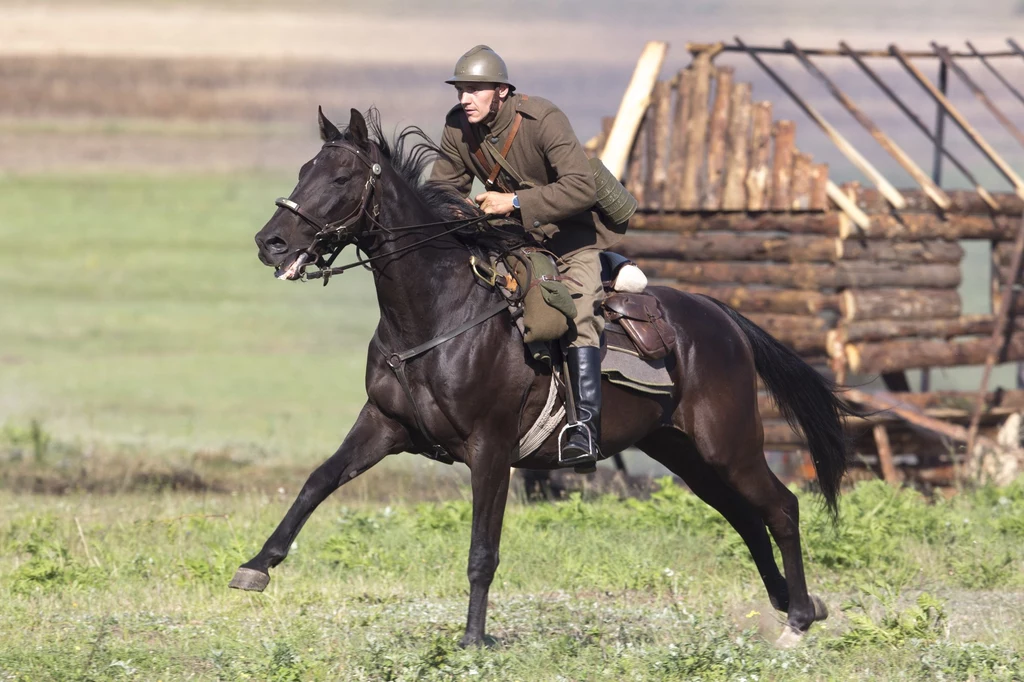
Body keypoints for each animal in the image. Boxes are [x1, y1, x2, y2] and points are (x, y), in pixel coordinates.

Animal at [234, 106, 856, 643]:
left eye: (341, 177)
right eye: (304, 171)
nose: (271, 243)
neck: (438, 312)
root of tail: (719, 316)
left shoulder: (490, 448)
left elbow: (482, 551)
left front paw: (474, 638)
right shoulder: (384, 426)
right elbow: (318, 481)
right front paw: (257, 565)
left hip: (729, 445)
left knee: (781, 508)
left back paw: (799, 619)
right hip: (683, 452)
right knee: (746, 518)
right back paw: (790, 603)